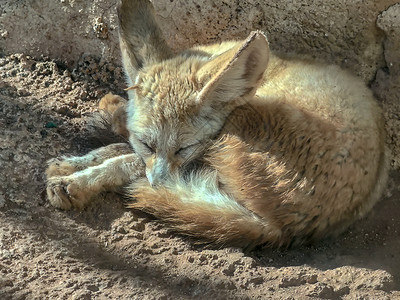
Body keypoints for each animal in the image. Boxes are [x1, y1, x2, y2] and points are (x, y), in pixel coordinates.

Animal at [45, 0, 390, 248]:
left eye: (183, 148)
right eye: (148, 143)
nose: (160, 185)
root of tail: (282, 229)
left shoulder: (198, 151)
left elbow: (127, 160)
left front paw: (79, 179)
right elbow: (128, 149)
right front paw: (74, 161)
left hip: (233, 132)